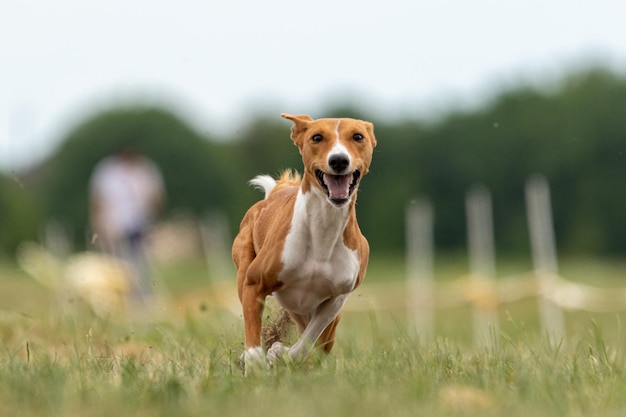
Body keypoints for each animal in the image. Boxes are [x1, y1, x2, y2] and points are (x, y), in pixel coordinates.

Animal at [230, 112, 372, 368]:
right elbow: (253, 340)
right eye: (317, 137)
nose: (338, 160)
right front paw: (256, 362)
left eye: (358, 136)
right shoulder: (254, 283)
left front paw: (279, 353)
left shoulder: (337, 298)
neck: (322, 233)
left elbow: (308, 344)